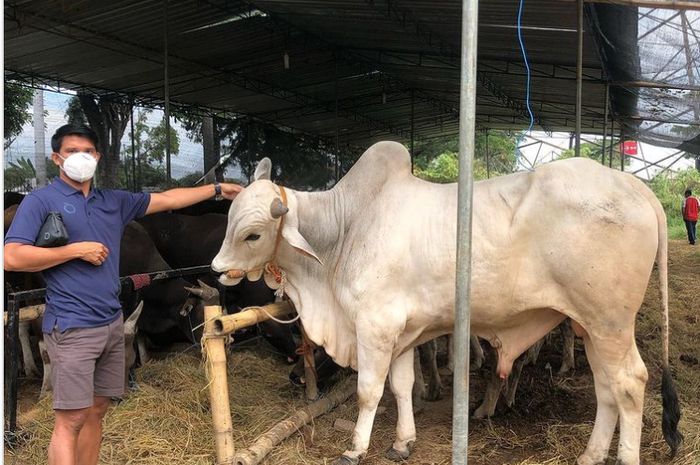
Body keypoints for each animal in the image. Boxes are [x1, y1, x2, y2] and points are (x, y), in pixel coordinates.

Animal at [212, 141, 680, 464]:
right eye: (228, 217)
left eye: (252, 234)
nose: (217, 267)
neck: (345, 230)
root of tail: (637, 187)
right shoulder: (401, 333)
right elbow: (401, 386)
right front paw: (402, 442)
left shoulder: (374, 326)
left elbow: (368, 391)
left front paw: (355, 449)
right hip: (589, 326)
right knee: (606, 387)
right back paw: (590, 454)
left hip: (610, 323)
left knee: (630, 383)